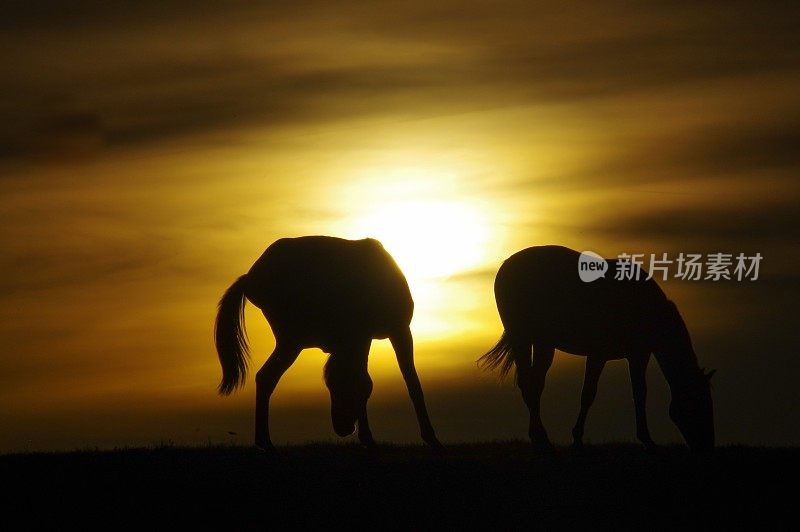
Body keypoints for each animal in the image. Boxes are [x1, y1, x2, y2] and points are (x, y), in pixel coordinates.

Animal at [212, 235, 444, 450]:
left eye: (333, 386)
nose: (342, 429)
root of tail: (251, 277)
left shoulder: (361, 338)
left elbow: (365, 379)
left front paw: (367, 438)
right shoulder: (399, 330)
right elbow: (409, 382)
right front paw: (431, 438)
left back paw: (265, 441)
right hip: (291, 341)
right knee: (266, 377)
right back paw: (265, 442)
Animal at [478, 245, 716, 454]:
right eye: (700, 403)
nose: (707, 447)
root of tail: (507, 264)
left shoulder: (638, 355)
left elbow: (639, 393)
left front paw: (647, 441)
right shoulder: (598, 355)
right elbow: (588, 394)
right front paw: (577, 439)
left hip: (543, 342)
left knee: (535, 384)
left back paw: (539, 439)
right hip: (523, 338)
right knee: (529, 384)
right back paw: (543, 441)